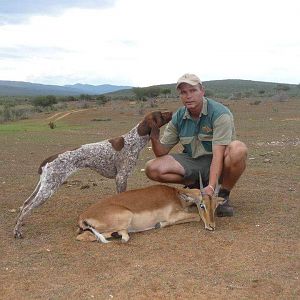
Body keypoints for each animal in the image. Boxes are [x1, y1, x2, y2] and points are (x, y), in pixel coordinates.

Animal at [14, 110, 172, 239]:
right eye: (161, 114)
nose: (171, 112)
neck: (135, 140)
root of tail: (48, 160)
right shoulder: (121, 177)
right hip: (49, 188)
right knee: (27, 208)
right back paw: (17, 231)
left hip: (44, 185)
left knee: (25, 204)